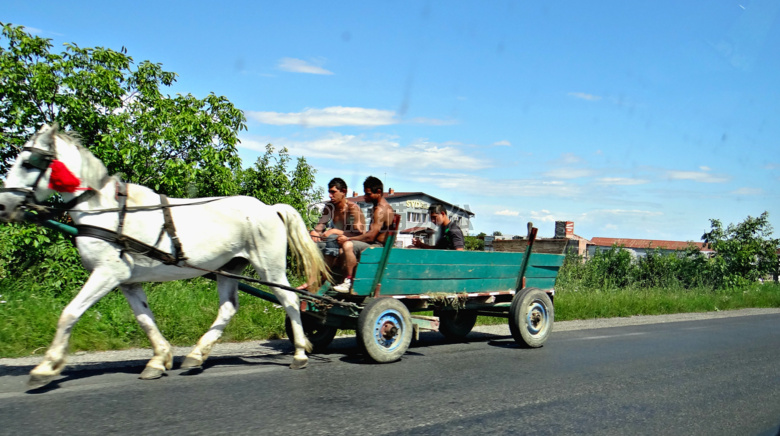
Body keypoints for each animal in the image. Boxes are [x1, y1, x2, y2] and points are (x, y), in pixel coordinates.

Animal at [0, 124, 330, 390]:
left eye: (28, 163)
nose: (3, 206)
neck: (105, 211)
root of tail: (270, 207)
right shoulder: (127, 280)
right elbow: (145, 319)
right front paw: (159, 359)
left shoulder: (107, 273)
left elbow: (69, 313)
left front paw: (46, 367)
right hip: (228, 267)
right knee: (228, 308)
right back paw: (196, 355)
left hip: (270, 267)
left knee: (290, 300)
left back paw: (300, 352)